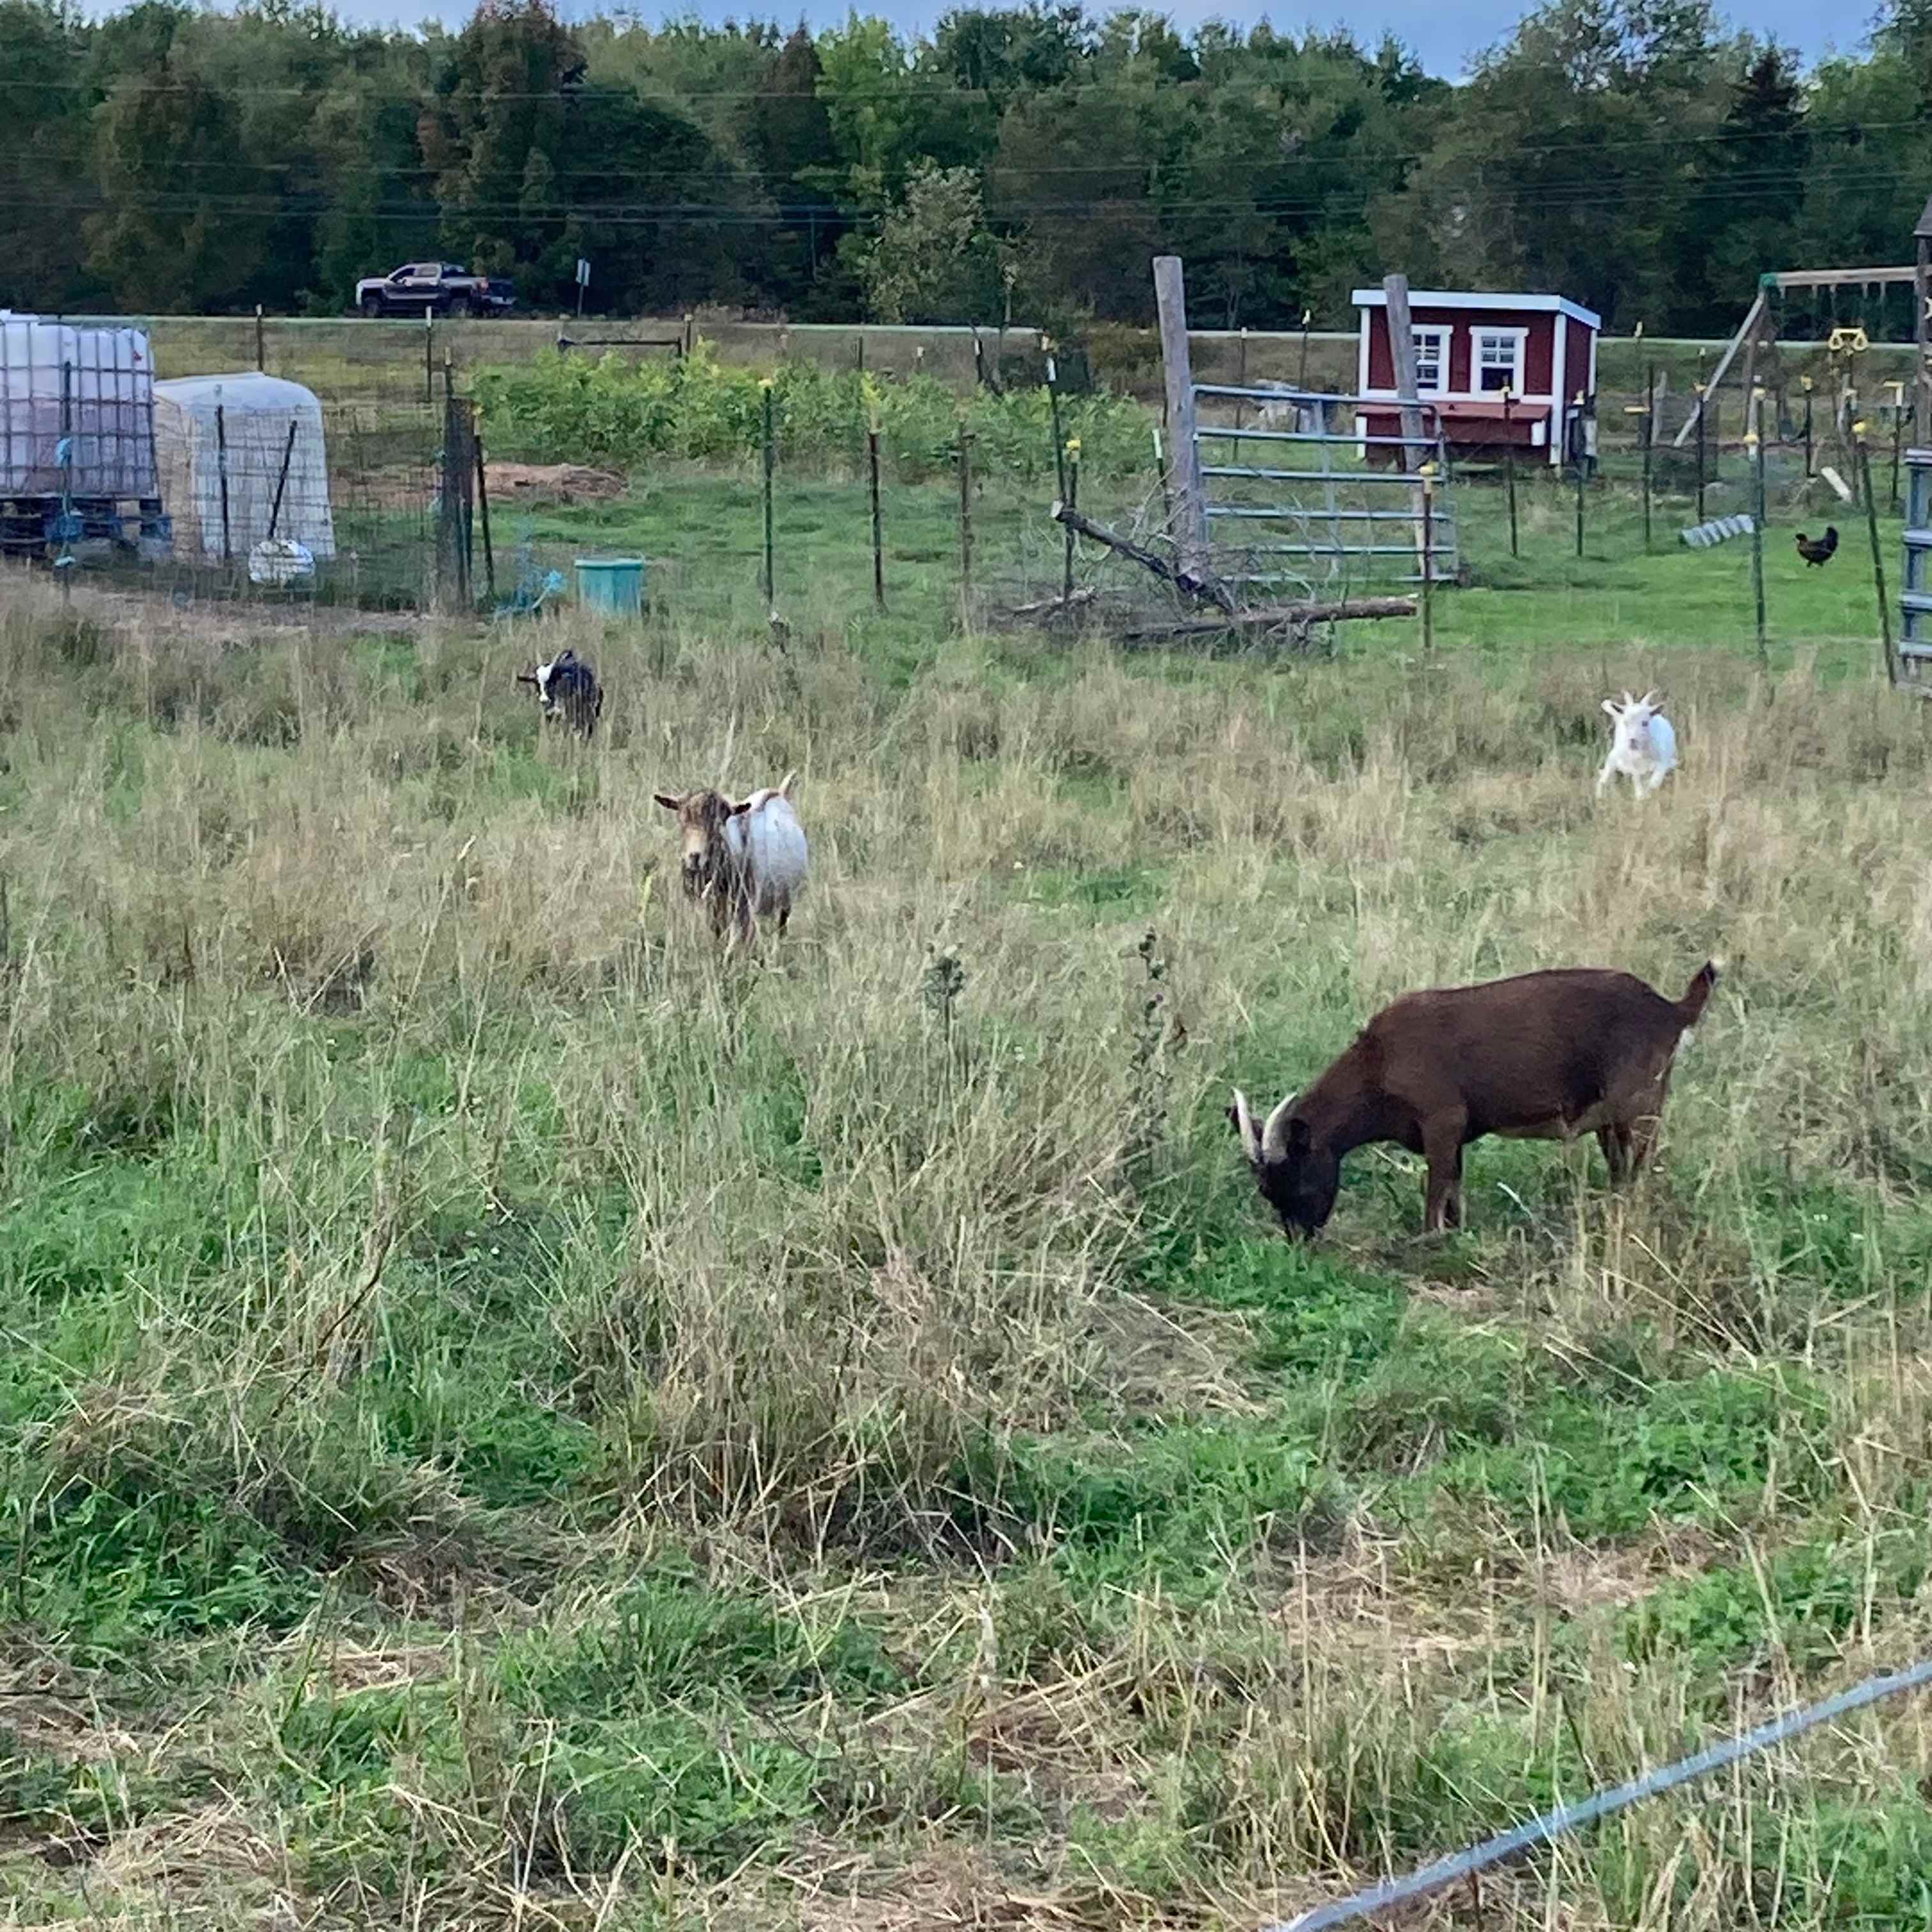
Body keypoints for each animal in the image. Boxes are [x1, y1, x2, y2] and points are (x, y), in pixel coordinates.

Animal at [652, 770, 808, 945]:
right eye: (682, 821)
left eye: (718, 825)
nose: (694, 857)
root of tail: (778, 793)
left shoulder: (747, 908)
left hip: (786, 899)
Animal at [1230, 960, 1719, 1239]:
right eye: (1266, 1192)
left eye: (1297, 1178)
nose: (1299, 1241)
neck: (1378, 1060)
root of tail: (1670, 1010)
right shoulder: (1457, 1133)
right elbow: (1454, 1190)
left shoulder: (1441, 1120)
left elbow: (1436, 1191)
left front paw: (1427, 1243)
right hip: (1613, 1119)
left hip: (1639, 1104)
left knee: (1642, 1166)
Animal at [1596, 690, 1677, 798]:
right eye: (1626, 722)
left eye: (1645, 723)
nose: (1632, 741)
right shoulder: (1634, 767)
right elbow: (1637, 781)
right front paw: (1641, 797)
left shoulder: (1663, 763)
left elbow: (1653, 783)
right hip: (1613, 758)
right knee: (1604, 779)